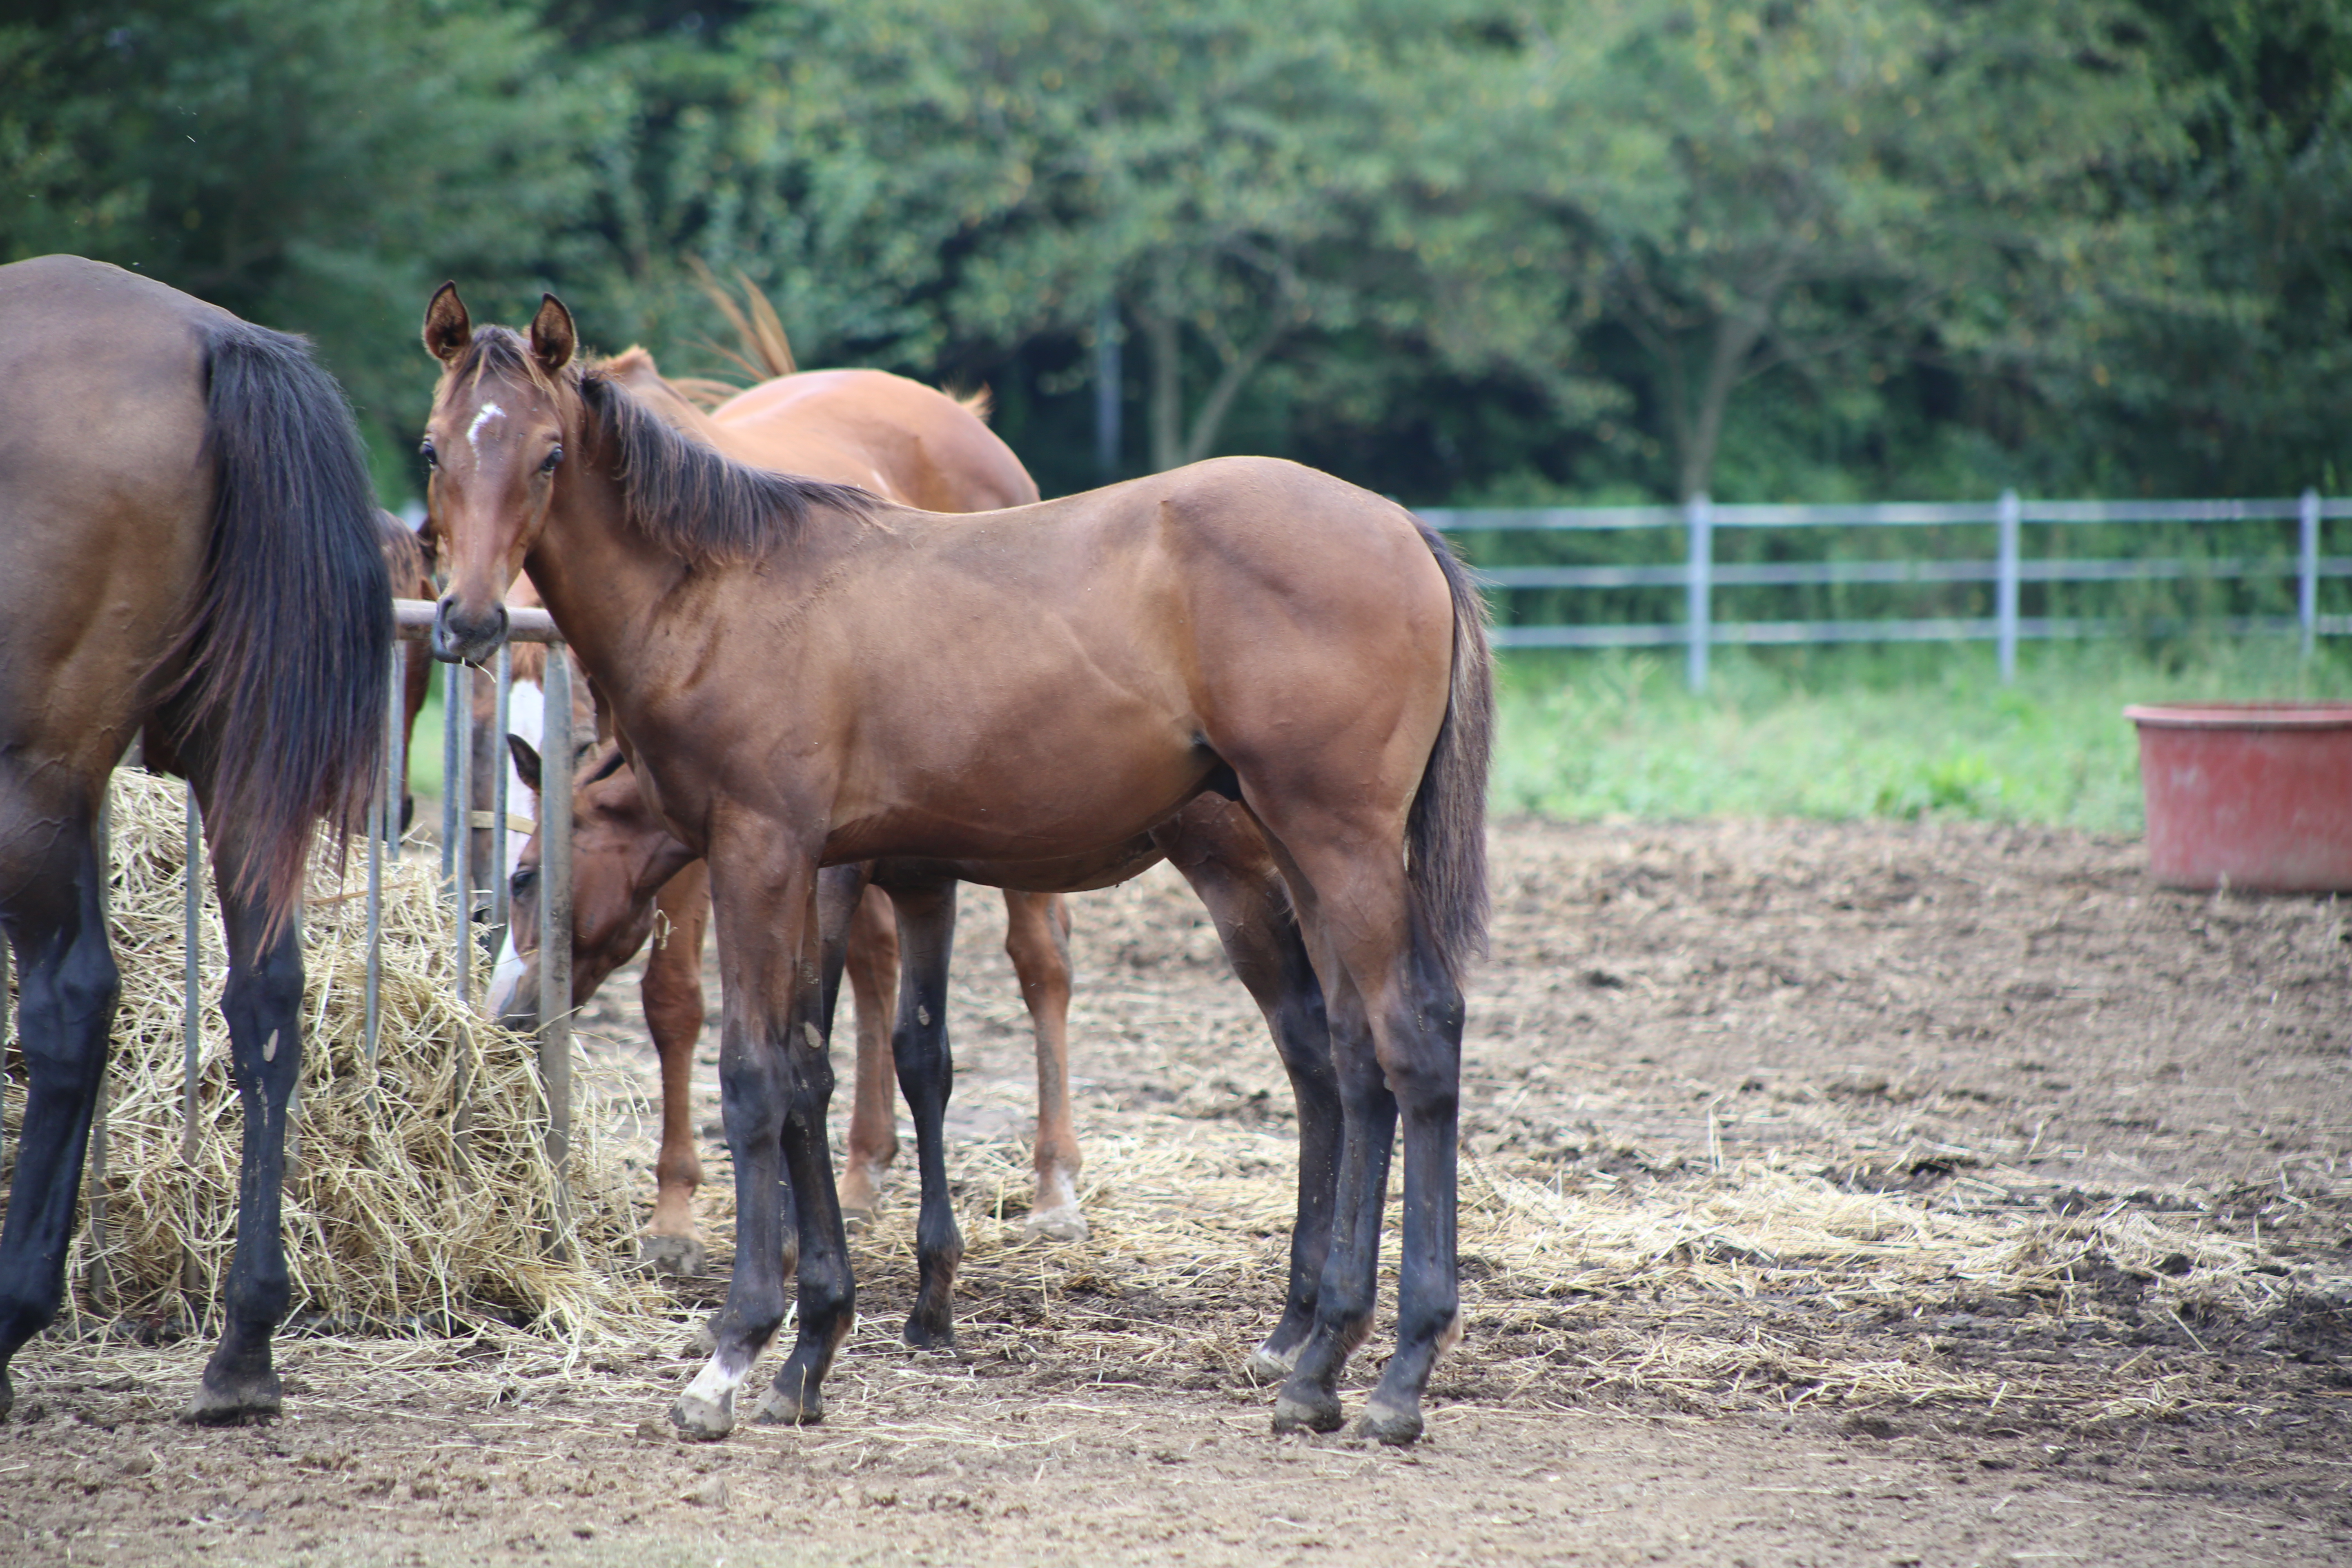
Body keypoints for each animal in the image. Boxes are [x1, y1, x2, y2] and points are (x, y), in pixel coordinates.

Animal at [0, 255, 385, 1420]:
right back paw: (244, 1345)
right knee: (265, 995)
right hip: (233, 759)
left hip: (29, 781)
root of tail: (216, 342)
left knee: (71, 999)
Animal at [421, 291, 1486, 1448]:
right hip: (1300, 851)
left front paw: (735, 1350)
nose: (469, 619)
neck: (720, 595)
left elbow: (756, 1079)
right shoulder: (837, 869)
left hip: (1330, 845)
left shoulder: (766, 854)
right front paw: (814, 1344)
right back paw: (1318, 1353)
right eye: (434, 448)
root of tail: (1403, 528)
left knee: (1412, 1040)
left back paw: (1398, 1370)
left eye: (548, 453)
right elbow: (814, 1069)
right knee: (1350, 1055)